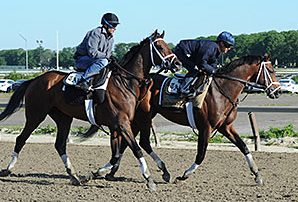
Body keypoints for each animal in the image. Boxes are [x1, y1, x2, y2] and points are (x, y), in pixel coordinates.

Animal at [0, 30, 180, 191]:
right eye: (160, 46)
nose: (177, 64)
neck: (124, 83)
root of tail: (34, 80)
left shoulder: (116, 126)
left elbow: (116, 155)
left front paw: (93, 174)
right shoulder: (121, 124)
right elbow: (135, 149)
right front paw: (149, 180)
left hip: (63, 118)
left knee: (60, 145)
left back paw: (74, 176)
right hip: (36, 115)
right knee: (21, 139)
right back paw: (7, 169)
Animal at [84, 53, 282, 185]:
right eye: (271, 70)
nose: (278, 91)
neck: (222, 90)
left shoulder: (225, 126)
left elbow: (243, 147)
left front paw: (257, 174)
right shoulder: (206, 127)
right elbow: (201, 154)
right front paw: (184, 174)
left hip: (143, 117)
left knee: (134, 142)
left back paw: (111, 171)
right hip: (142, 116)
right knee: (135, 142)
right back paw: (108, 170)